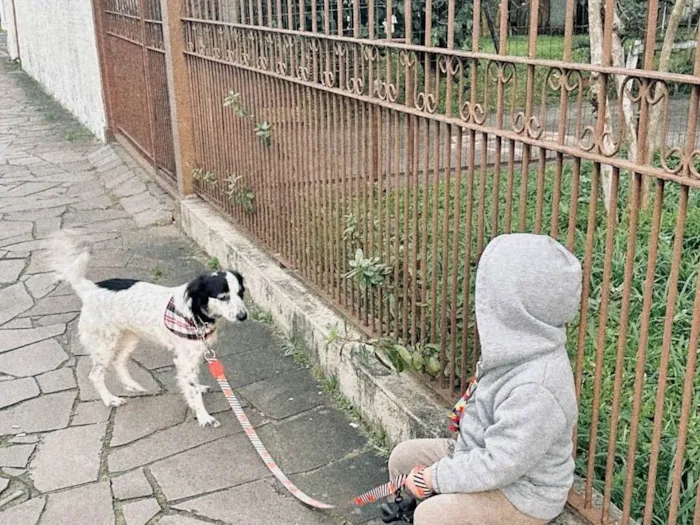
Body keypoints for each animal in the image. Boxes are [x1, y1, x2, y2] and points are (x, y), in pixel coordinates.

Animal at [47, 231, 247, 428]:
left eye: (241, 293)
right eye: (223, 297)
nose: (244, 316)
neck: (196, 310)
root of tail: (90, 289)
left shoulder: (195, 353)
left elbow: (190, 385)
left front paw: (196, 396)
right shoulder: (185, 358)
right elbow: (192, 390)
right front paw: (204, 417)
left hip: (130, 338)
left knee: (118, 361)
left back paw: (132, 386)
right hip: (104, 344)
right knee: (95, 375)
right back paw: (110, 399)